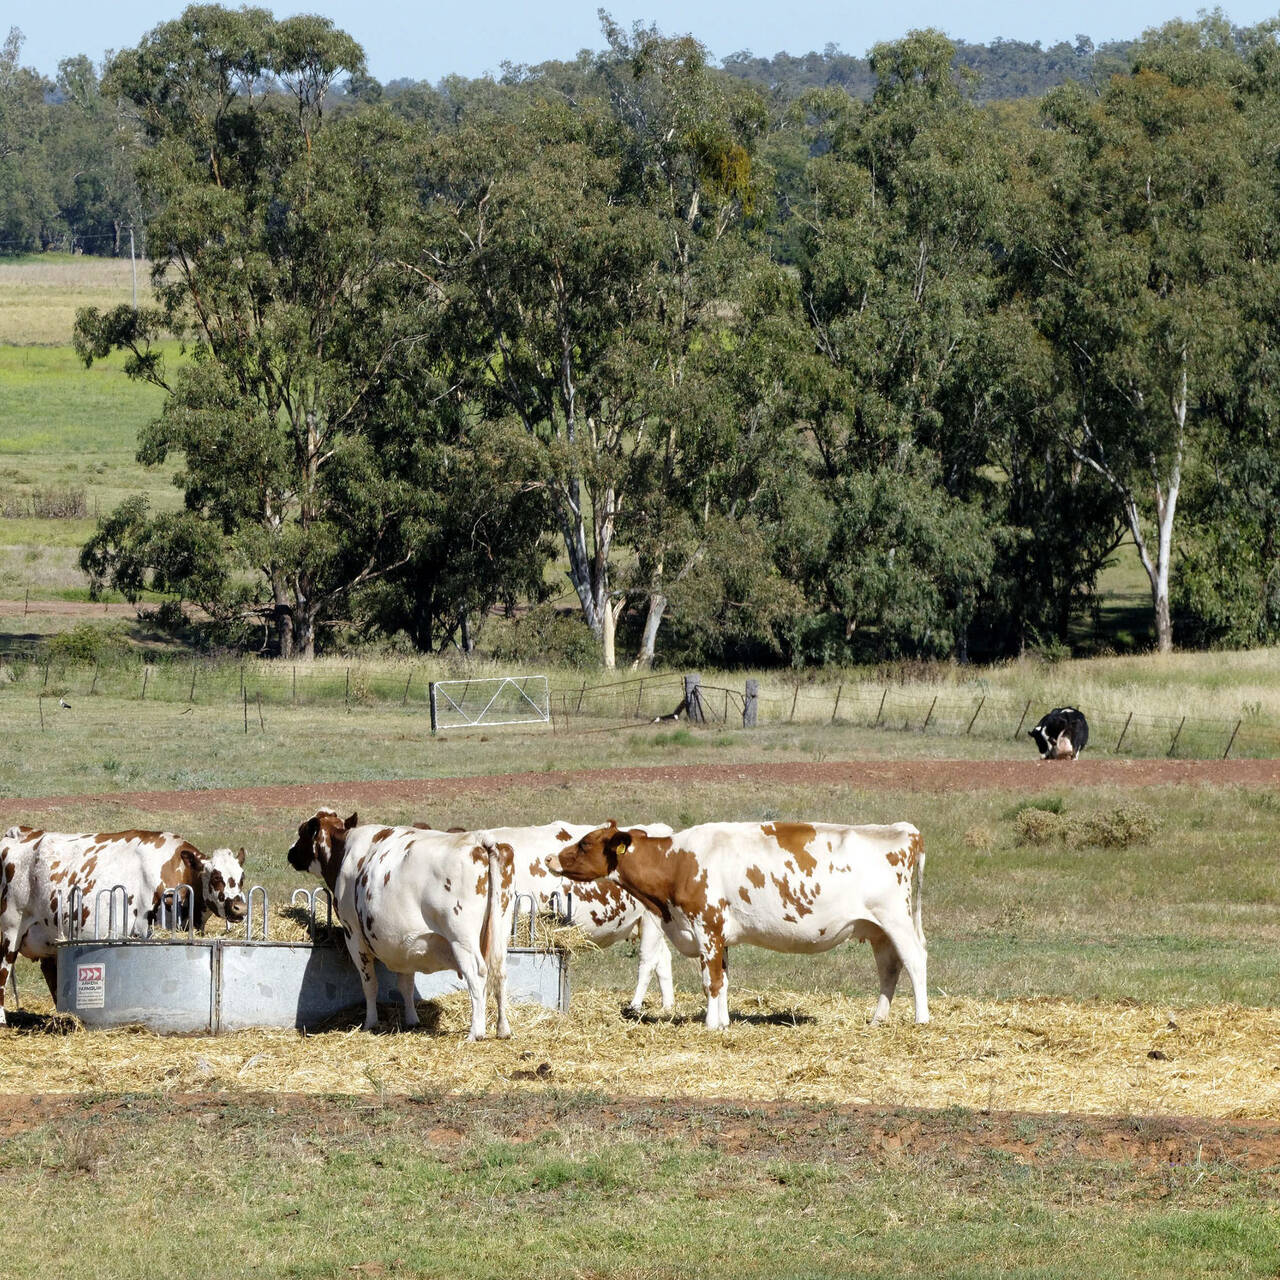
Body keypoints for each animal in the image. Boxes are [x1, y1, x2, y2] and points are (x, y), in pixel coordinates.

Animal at [0, 824, 248, 1024]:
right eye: (216, 877)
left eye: (242, 878)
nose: (240, 908)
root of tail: (20, 832)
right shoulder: (146, 930)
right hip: (10, 929)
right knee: (3, 969)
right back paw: (3, 1020)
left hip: (48, 938)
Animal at [286, 808, 514, 1039]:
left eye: (303, 831)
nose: (290, 852)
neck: (344, 852)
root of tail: (478, 840)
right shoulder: (404, 944)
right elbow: (406, 985)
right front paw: (412, 1020)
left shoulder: (354, 935)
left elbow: (370, 984)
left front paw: (370, 1022)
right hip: (500, 930)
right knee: (500, 972)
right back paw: (503, 1029)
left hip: (462, 938)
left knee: (478, 973)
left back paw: (475, 1032)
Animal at [550, 819, 931, 1029]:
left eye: (585, 843)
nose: (552, 858)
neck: (678, 862)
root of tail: (904, 831)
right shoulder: (721, 934)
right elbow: (723, 980)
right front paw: (723, 1021)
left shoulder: (707, 925)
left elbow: (711, 982)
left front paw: (711, 1025)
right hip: (878, 929)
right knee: (889, 968)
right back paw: (878, 1018)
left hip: (895, 919)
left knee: (915, 960)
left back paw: (921, 1018)